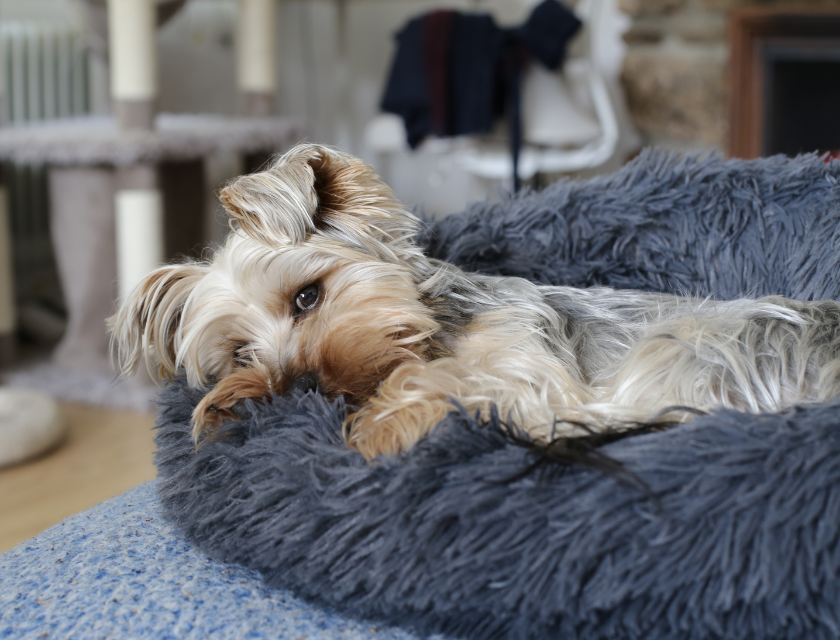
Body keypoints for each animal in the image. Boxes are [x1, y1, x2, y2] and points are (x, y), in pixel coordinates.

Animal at [110, 142, 840, 458]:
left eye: (308, 295)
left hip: (689, 347)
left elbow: (447, 382)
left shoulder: (530, 370)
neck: (436, 327)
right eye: (239, 354)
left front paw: (375, 428)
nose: (295, 390)